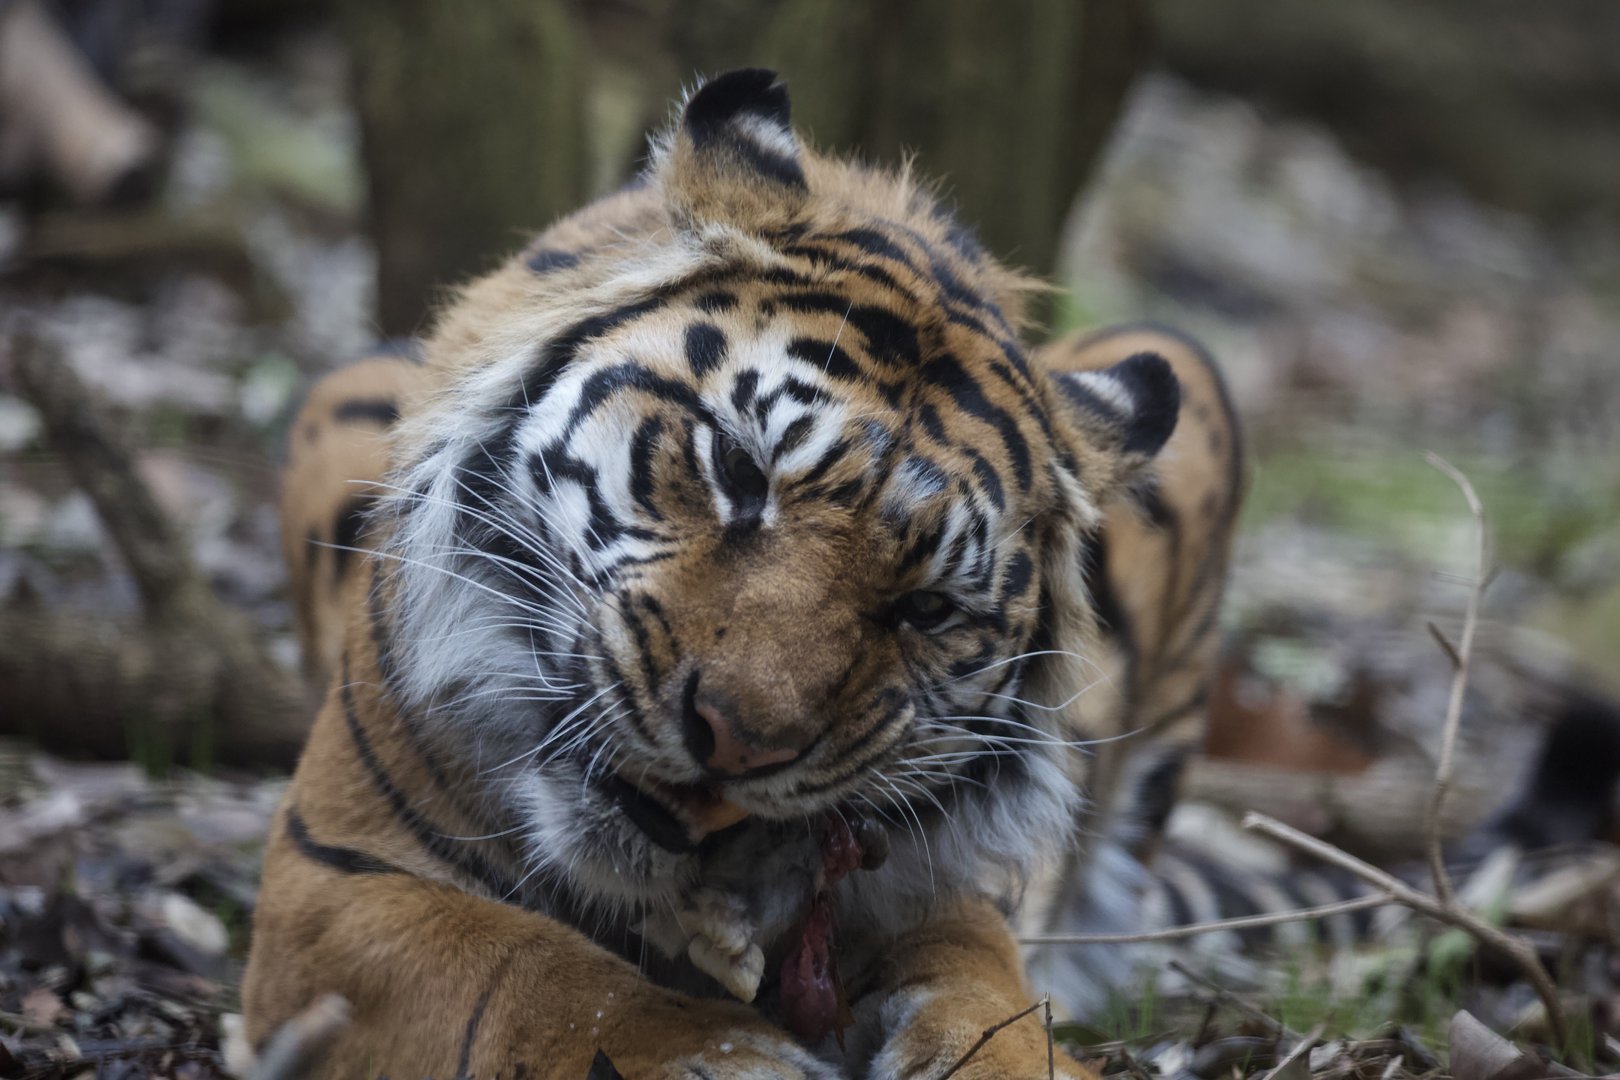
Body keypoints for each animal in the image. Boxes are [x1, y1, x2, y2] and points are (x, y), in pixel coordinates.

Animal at [244, 68, 1243, 1080]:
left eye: (925, 607)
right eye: (737, 469)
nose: (735, 742)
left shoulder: (940, 889)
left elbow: (985, 981)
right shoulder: (332, 879)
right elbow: (534, 973)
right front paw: (710, 1051)